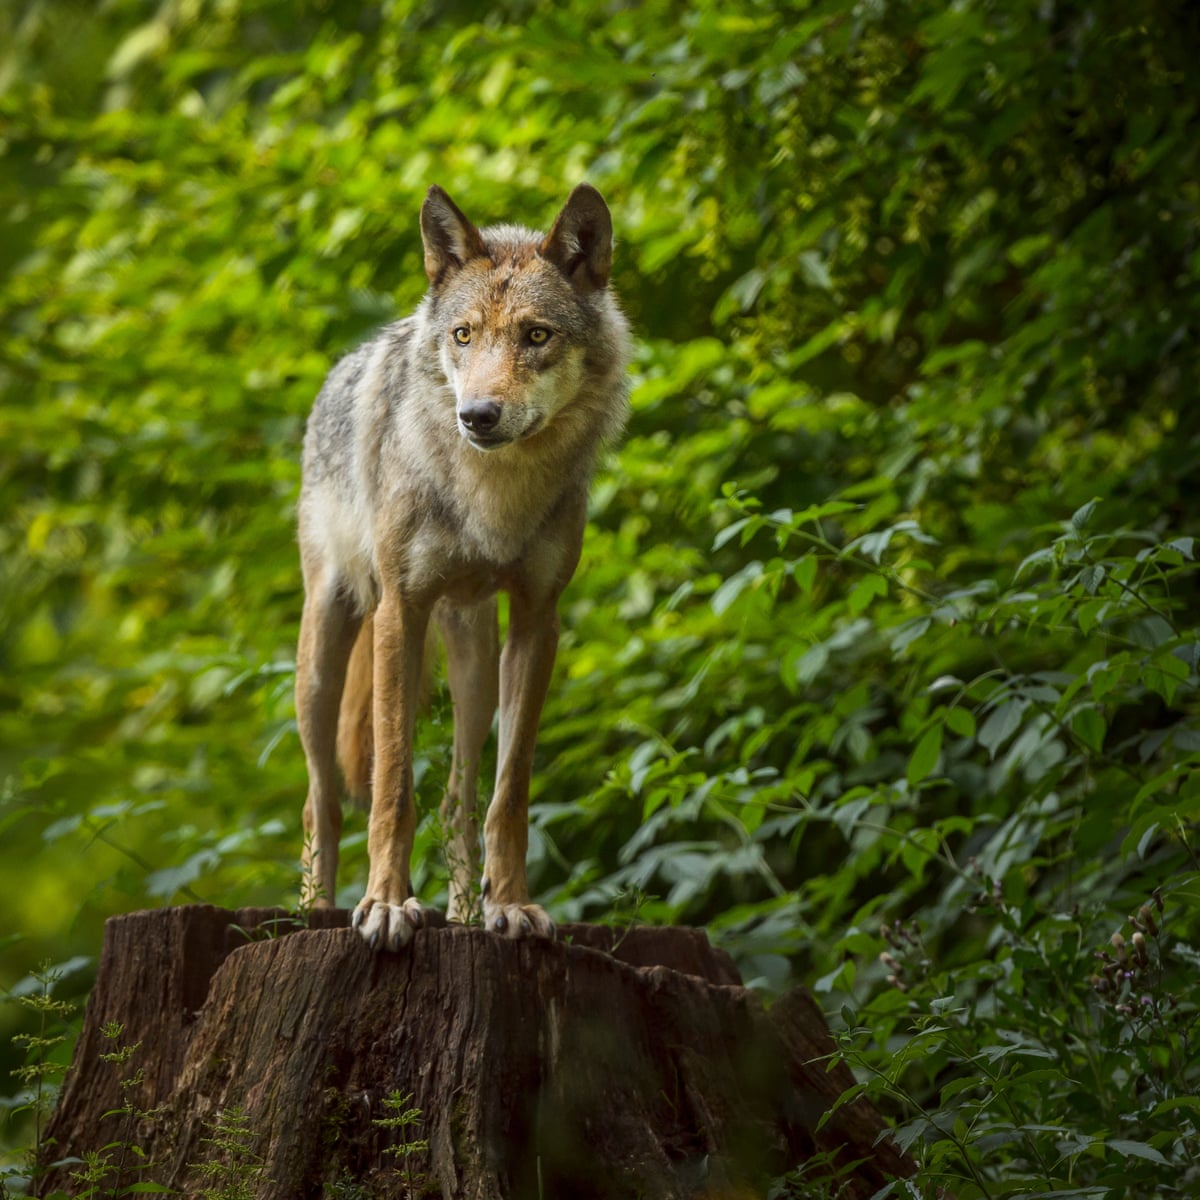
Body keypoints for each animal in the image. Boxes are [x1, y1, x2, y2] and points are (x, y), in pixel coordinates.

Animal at [295, 184, 631, 951]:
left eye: (536, 336)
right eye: (464, 336)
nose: (476, 415)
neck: (494, 498)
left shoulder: (538, 621)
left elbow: (508, 794)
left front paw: (511, 906)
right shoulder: (401, 610)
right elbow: (391, 785)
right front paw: (387, 906)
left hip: (474, 669)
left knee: (456, 799)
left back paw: (465, 916)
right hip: (325, 657)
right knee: (321, 800)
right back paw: (316, 911)